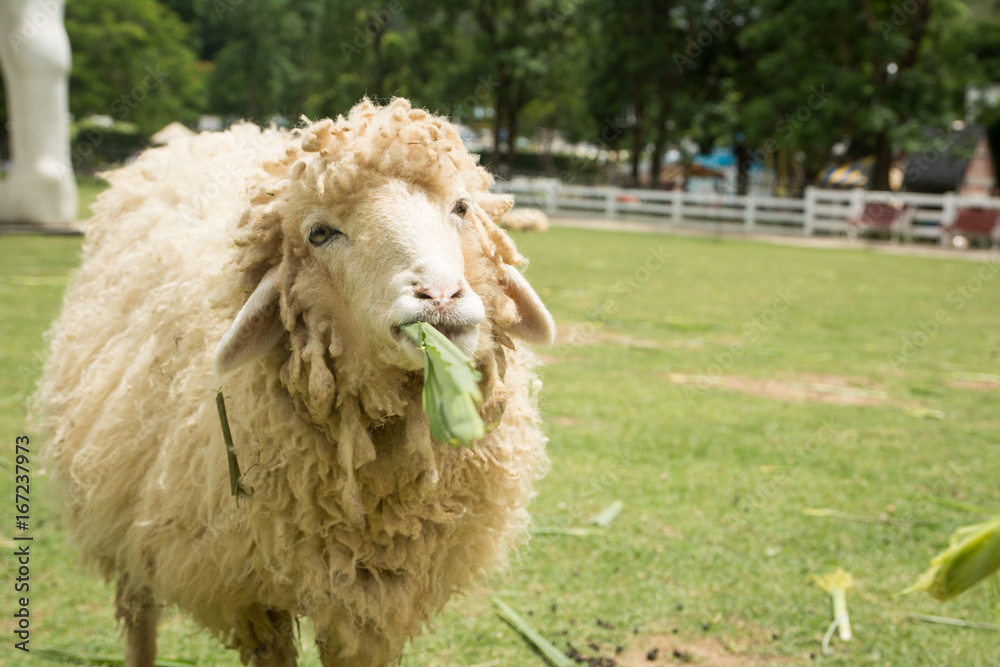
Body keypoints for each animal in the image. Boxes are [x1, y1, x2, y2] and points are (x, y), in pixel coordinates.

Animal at [37, 98, 556, 667]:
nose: (440, 298)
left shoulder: (372, 601)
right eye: (320, 233)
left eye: (461, 208)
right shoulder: (253, 596)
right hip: (123, 505)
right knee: (139, 617)